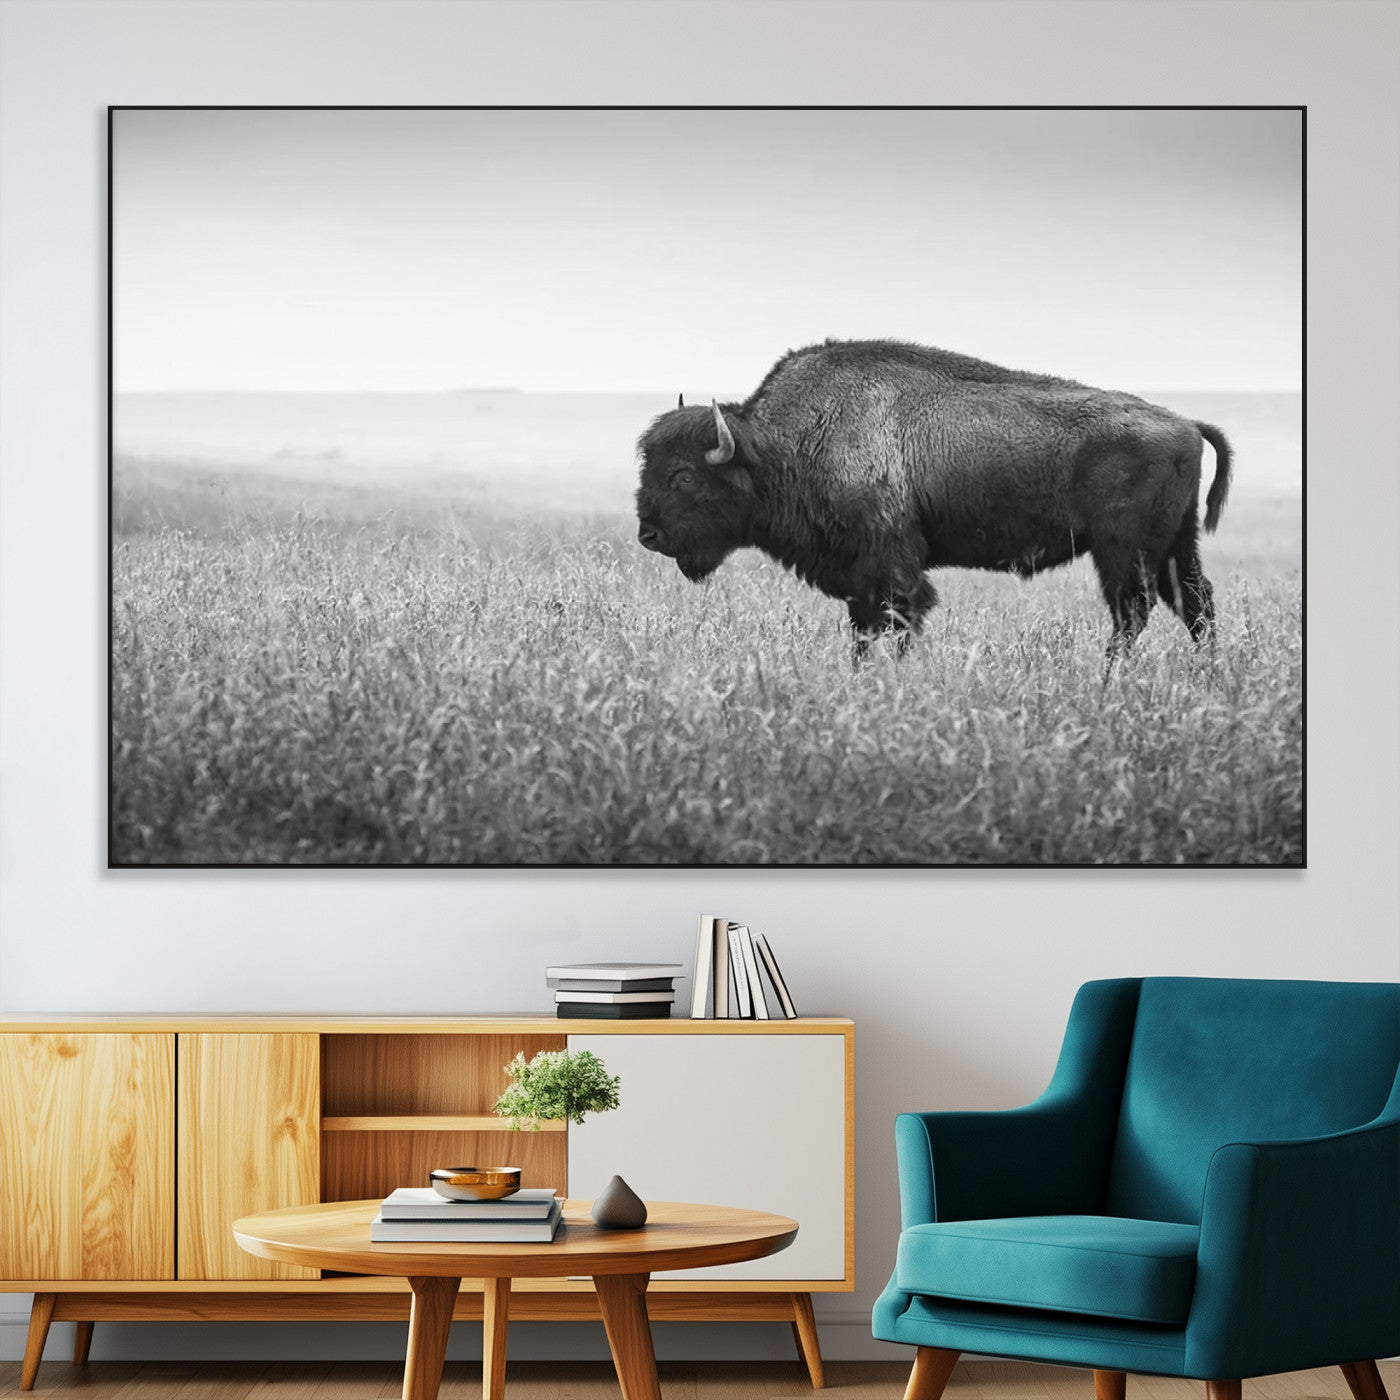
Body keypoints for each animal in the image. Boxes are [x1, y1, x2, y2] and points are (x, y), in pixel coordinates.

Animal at [635, 338, 1232, 657]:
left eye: (685, 476)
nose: (648, 535)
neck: (780, 446)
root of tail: (1186, 423)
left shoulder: (891, 566)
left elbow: (899, 620)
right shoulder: (859, 577)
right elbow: (864, 629)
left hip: (1123, 551)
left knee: (1133, 613)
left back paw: (1110, 679)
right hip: (1175, 546)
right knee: (1195, 605)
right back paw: (1204, 675)